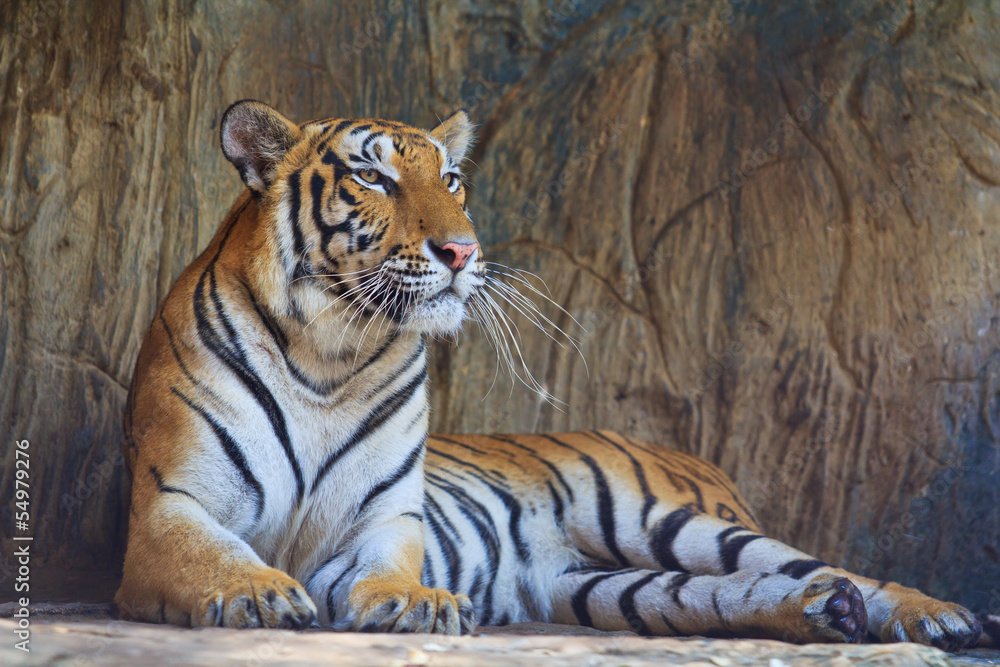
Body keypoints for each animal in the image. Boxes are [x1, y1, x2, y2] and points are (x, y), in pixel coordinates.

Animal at [115, 99, 997, 650]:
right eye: (373, 177)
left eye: (452, 179)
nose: (462, 250)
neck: (329, 351)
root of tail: (696, 457)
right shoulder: (170, 506)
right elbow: (218, 554)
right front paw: (261, 588)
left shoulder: (385, 520)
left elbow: (387, 567)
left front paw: (416, 601)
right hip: (612, 584)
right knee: (731, 594)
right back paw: (828, 614)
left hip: (666, 520)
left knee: (823, 564)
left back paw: (939, 617)